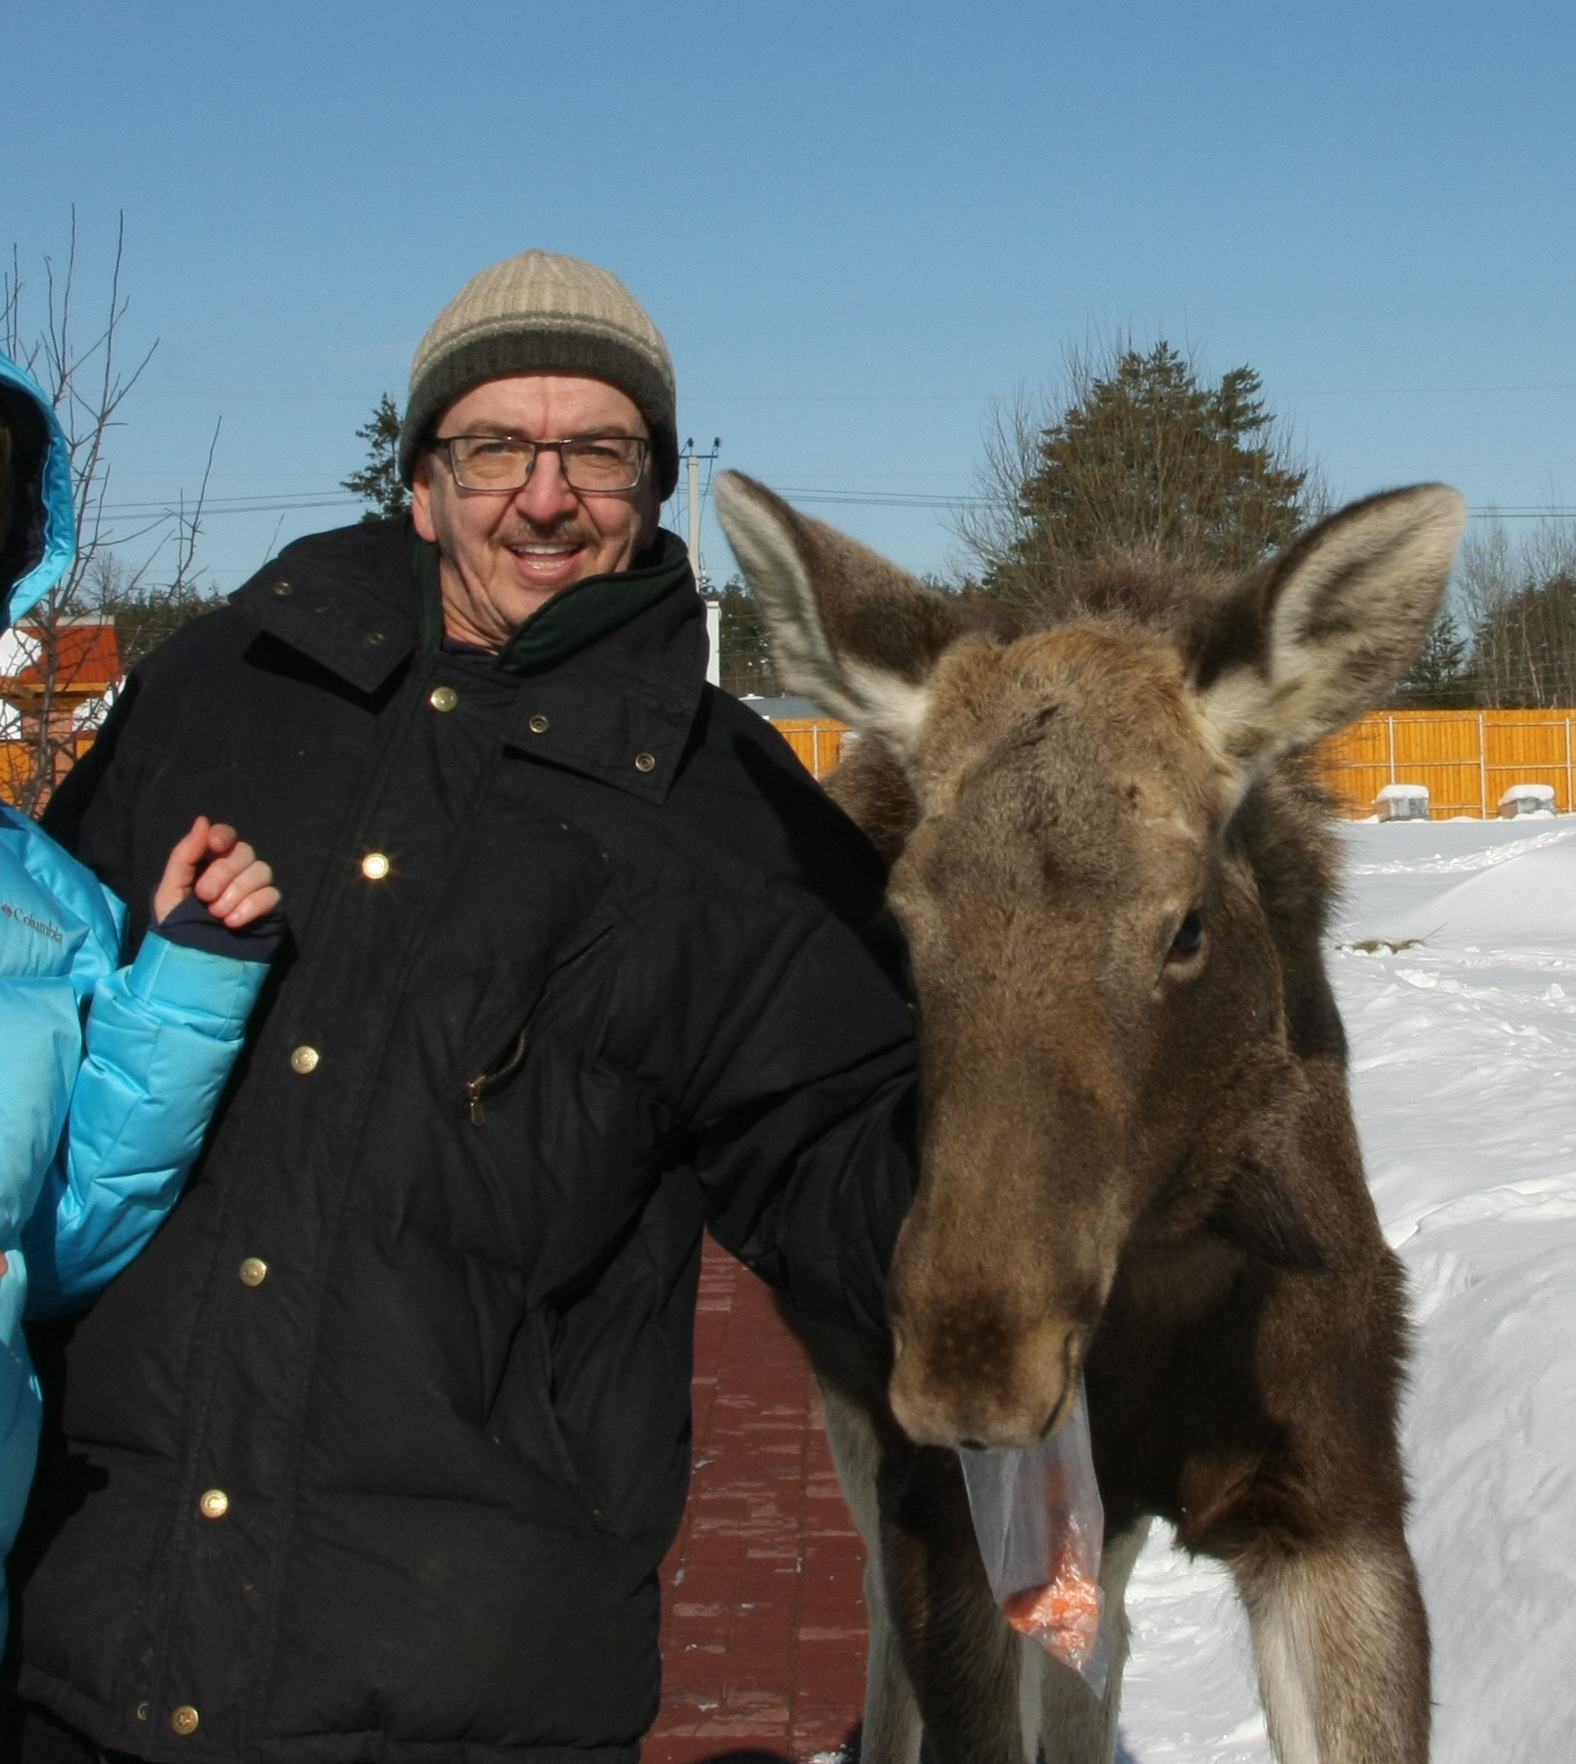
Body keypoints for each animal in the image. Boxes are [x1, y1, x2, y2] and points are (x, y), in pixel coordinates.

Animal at [712, 472, 1461, 1764]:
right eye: (902, 921)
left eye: (1185, 924)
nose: (972, 1363)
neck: (1166, 1281)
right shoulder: (943, 1512)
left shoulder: (1340, 1495)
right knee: (884, 1628)